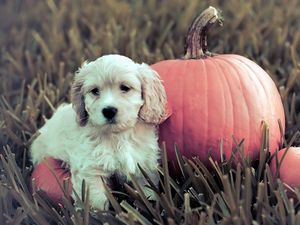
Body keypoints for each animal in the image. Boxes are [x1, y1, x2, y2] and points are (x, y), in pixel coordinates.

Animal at [31, 54, 166, 209]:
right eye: (95, 91)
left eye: (125, 88)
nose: (109, 110)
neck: (117, 136)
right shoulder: (90, 170)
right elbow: (97, 200)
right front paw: (98, 213)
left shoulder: (144, 164)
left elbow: (148, 191)